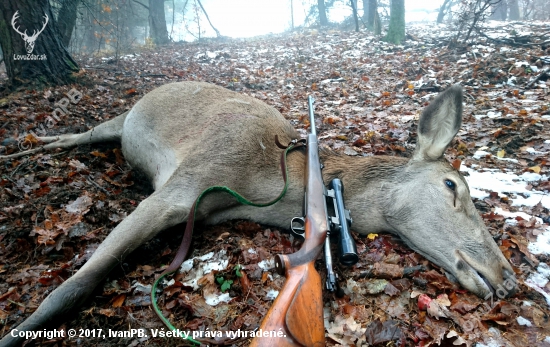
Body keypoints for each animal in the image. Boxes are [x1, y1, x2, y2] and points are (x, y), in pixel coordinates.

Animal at [0, 83, 516, 346]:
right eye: (452, 186)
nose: (506, 275)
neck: (264, 181)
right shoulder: (180, 187)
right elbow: (73, 286)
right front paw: (17, 333)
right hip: (122, 118)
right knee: (81, 133)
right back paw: (26, 144)